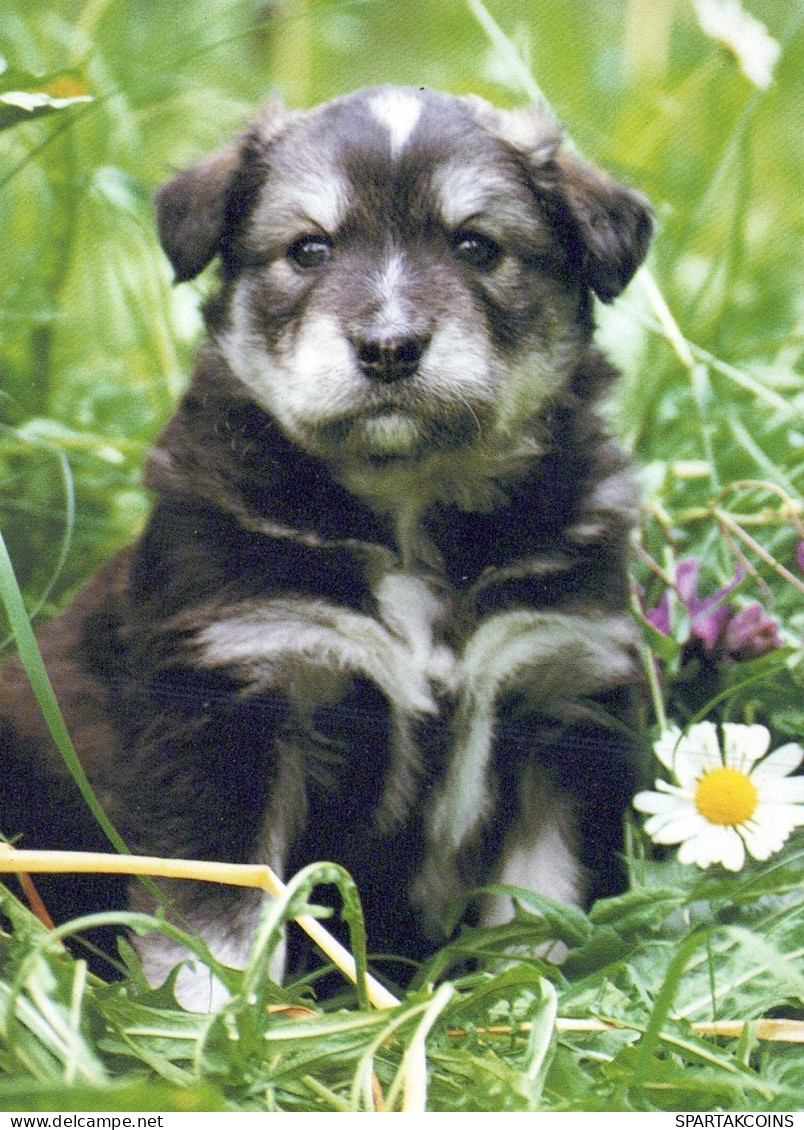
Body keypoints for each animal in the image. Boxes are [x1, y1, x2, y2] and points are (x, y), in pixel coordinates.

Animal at [0, 85, 650, 1007]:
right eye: (309, 249)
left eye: (476, 245)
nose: (388, 348)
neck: (409, 509)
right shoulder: (230, 701)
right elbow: (218, 918)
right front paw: (216, 1022)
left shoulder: (561, 697)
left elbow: (542, 903)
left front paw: (526, 1004)